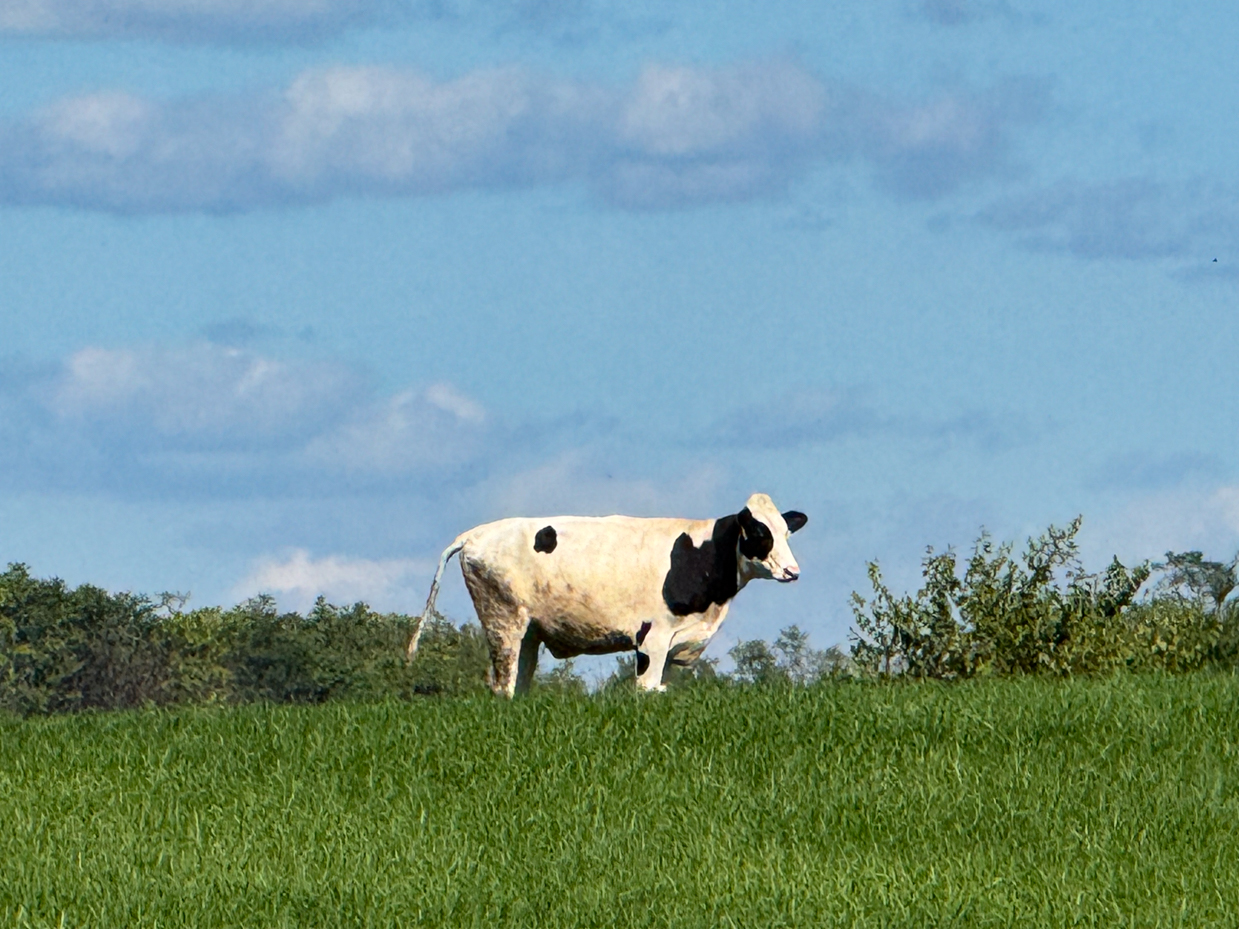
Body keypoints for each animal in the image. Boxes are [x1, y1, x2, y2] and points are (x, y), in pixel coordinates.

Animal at [406, 495, 807, 698]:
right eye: (761, 533)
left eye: (786, 532)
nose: (793, 572)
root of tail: (474, 535)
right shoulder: (652, 637)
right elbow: (647, 689)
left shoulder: (679, 644)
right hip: (503, 621)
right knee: (503, 685)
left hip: (530, 632)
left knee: (519, 684)